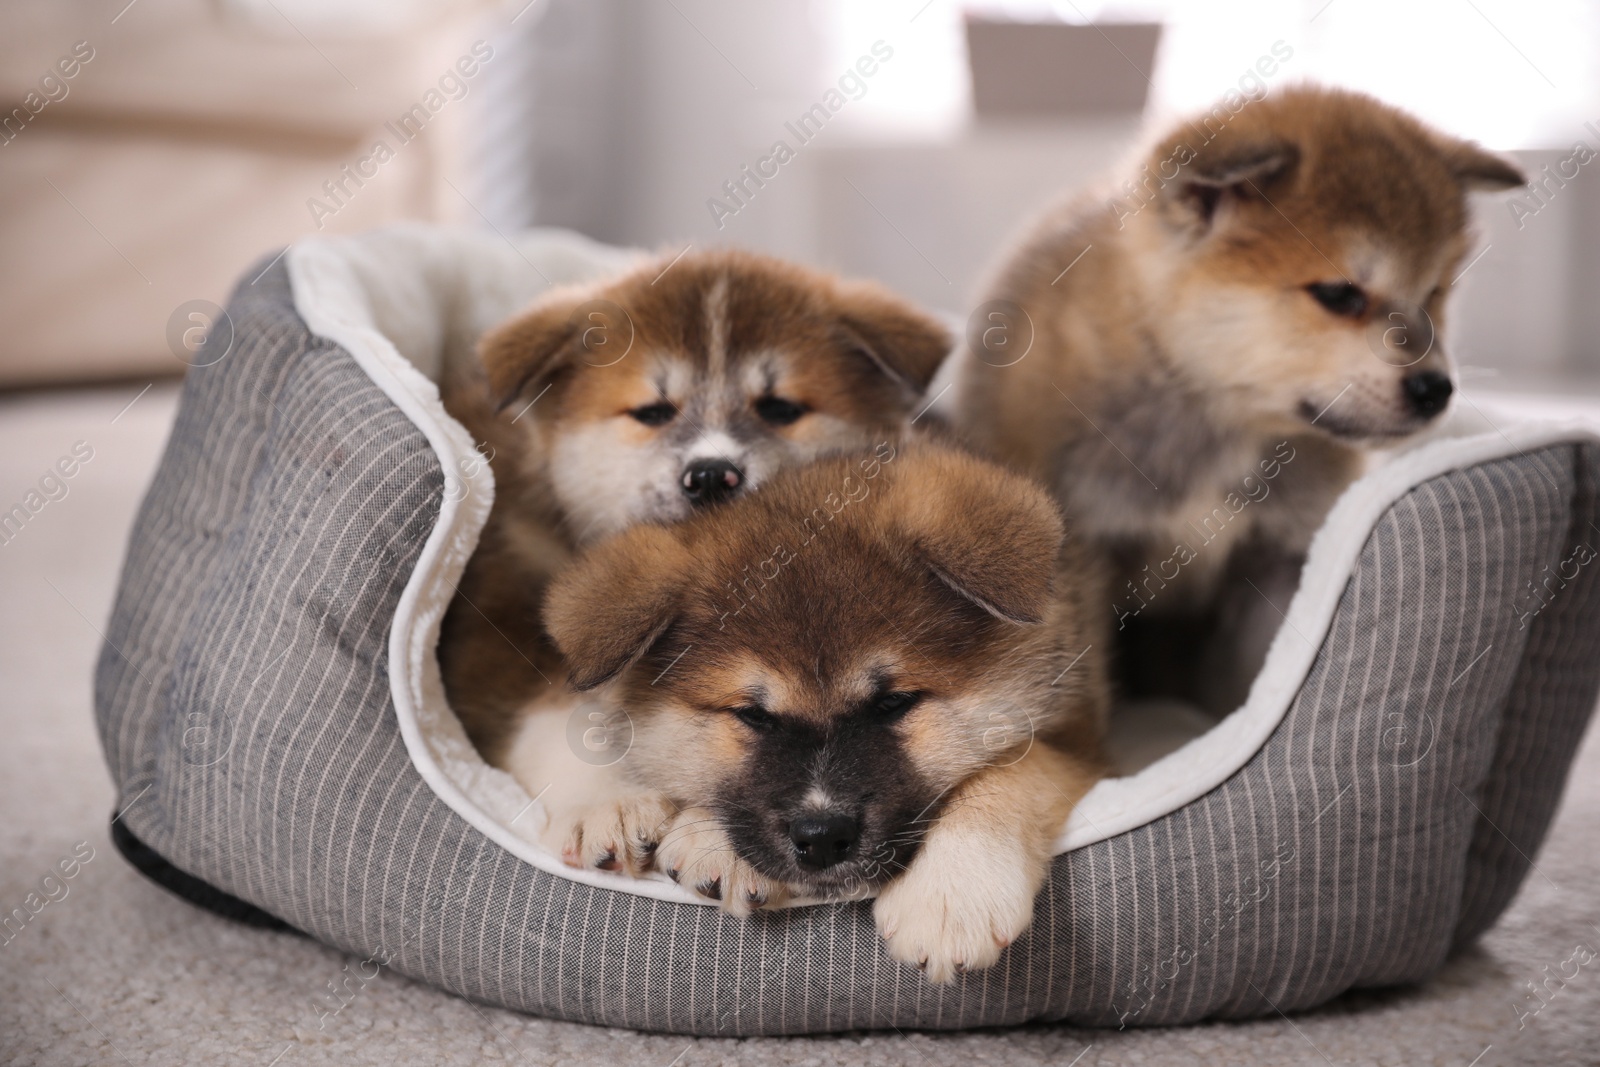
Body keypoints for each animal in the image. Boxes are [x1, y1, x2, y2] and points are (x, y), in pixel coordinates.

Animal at [505, 438, 1107, 979]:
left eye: (893, 703)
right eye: (753, 716)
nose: (822, 838)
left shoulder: (1082, 738)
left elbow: (1014, 770)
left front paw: (951, 890)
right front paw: (630, 810)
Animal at [947, 85, 1523, 716]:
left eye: (1433, 294)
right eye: (1339, 294)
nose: (1436, 389)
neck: (1219, 420)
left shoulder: (1275, 560)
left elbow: (1251, 687)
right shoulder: (1089, 556)